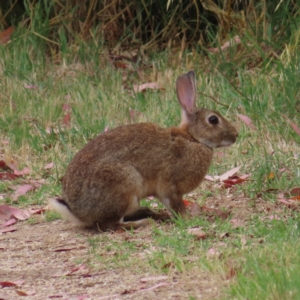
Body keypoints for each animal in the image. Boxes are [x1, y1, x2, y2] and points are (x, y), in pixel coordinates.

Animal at [49, 70, 238, 230]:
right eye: (213, 120)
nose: (236, 135)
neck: (192, 138)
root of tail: (77, 213)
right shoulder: (170, 186)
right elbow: (176, 205)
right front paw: (188, 219)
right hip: (125, 185)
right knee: (111, 224)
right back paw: (143, 222)